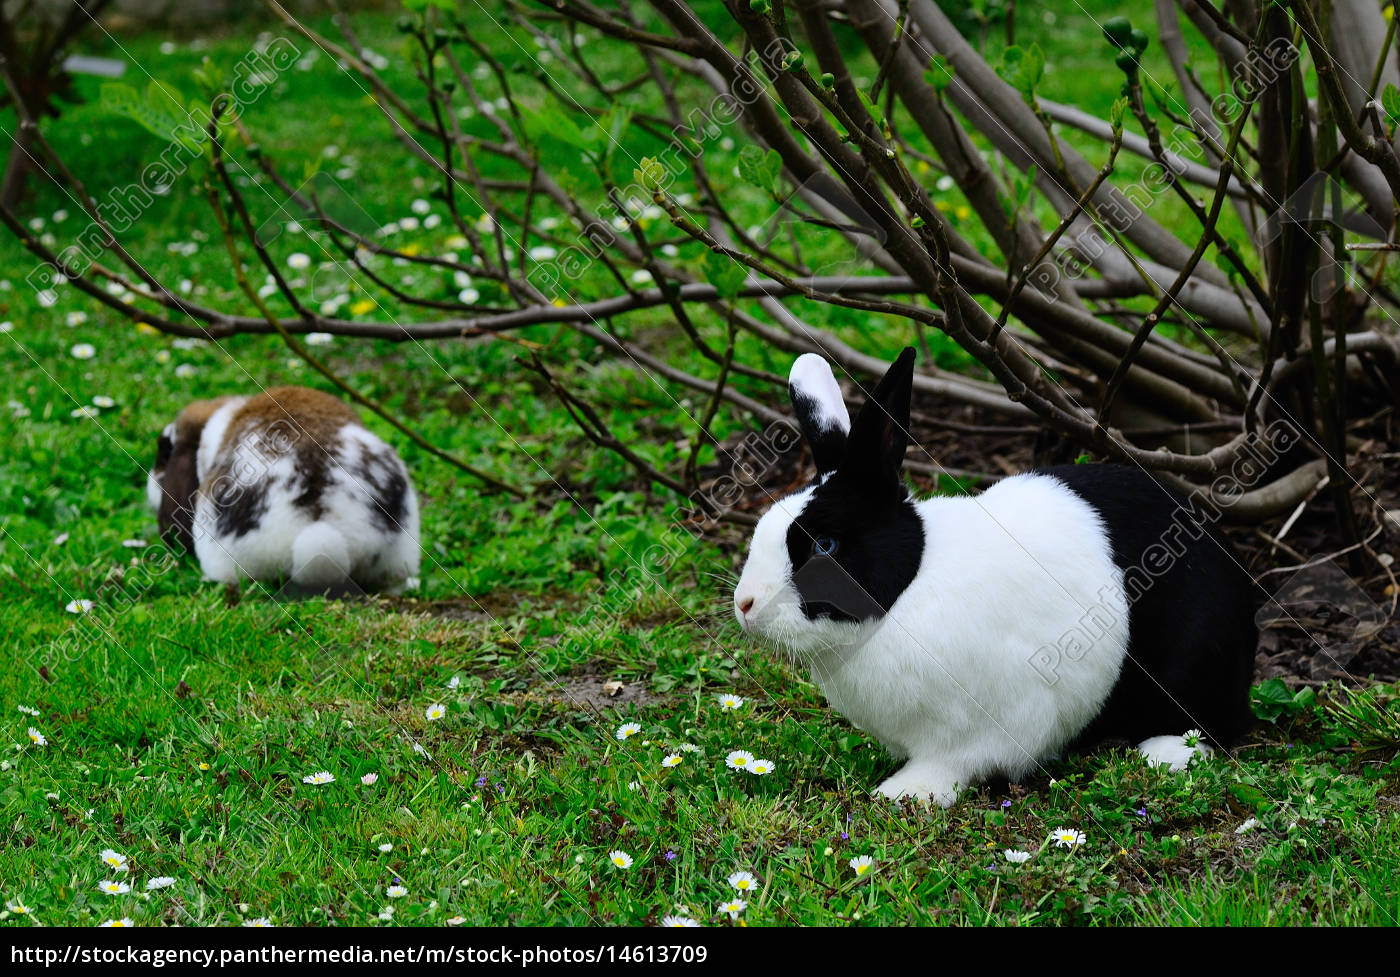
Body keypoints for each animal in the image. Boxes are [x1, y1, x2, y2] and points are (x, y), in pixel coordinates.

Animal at [733, 345, 1260, 800]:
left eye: (825, 546)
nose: (745, 606)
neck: (908, 591)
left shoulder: (991, 724)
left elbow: (952, 763)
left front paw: (905, 793)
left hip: (1196, 662)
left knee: (1209, 727)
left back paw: (1163, 753)